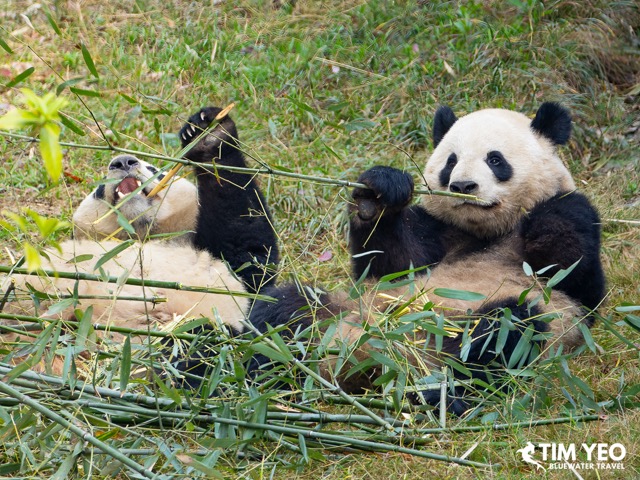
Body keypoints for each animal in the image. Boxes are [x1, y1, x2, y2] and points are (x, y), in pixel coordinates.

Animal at [2, 106, 278, 345]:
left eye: (155, 169)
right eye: (99, 189)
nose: (123, 162)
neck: (143, 233)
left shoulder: (225, 264)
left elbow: (247, 243)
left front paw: (209, 134)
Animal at [249, 102, 605, 414]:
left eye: (495, 159)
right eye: (451, 161)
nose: (463, 185)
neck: (488, 232)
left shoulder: (571, 264)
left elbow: (576, 273)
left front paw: (546, 220)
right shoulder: (439, 231)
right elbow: (390, 262)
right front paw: (375, 198)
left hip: (498, 323)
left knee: (503, 331)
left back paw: (434, 390)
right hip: (342, 308)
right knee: (284, 310)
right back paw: (260, 370)